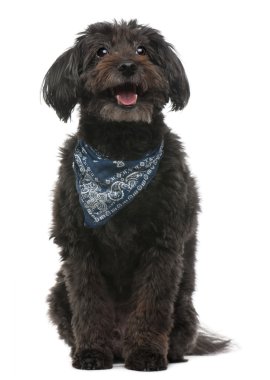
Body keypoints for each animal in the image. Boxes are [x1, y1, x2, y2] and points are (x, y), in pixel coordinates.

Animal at [43, 20, 229, 372]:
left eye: (142, 49)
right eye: (101, 51)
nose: (128, 65)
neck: (120, 150)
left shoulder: (162, 245)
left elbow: (152, 305)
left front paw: (146, 353)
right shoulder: (80, 246)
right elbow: (88, 303)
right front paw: (91, 352)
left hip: (184, 307)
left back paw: (167, 353)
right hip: (58, 292)